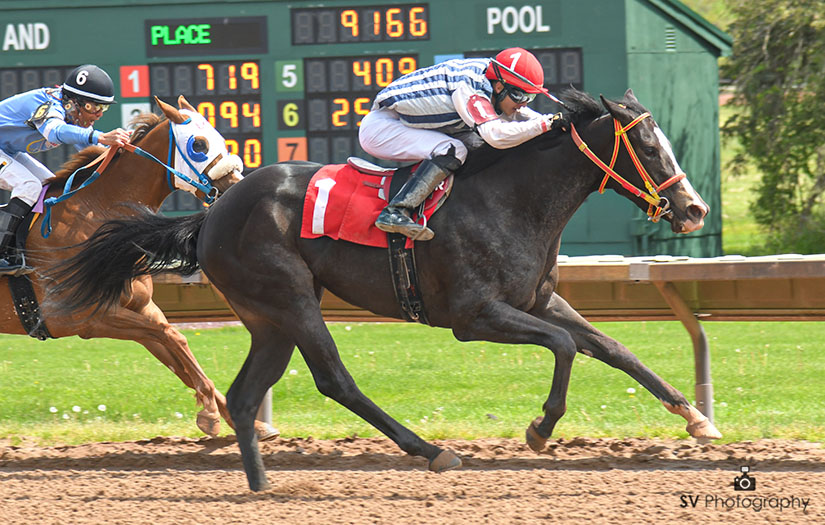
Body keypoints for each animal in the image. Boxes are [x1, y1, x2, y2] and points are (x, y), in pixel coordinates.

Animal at [12, 97, 276, 438]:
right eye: (199, 144)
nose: (237, 188)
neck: (93, 215)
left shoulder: (142, 307)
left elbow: (176, 349)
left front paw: (249, 423)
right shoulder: (82, 316)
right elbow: (173, 336)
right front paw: (210, 413)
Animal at [51, 88, 716, 490]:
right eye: (648, 145)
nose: (694, 209)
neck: (512, 200)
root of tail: (212, 212)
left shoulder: (537, 299)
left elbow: (612, 348)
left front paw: (694, 418)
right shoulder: (474, 316)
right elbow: (566, 347)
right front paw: (540, 429)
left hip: (269, 317)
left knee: (244, 397)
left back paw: (261, 484)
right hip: (292, 299)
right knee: (334, 379)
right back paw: (430, 450)